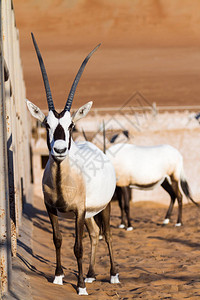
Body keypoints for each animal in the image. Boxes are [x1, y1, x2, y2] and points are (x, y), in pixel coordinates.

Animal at [27, 32, 119, 296]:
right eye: (46, 124)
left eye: (71, 125)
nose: (58, 150)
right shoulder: (51, 208)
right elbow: (57, 239)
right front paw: (59, 277)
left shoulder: (78, 210)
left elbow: (77, 246)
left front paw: (79, 287)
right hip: (89, 213)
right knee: (95, 233)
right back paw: (90, 274)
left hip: (104, 206)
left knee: (108, 234)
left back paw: (112, 275)